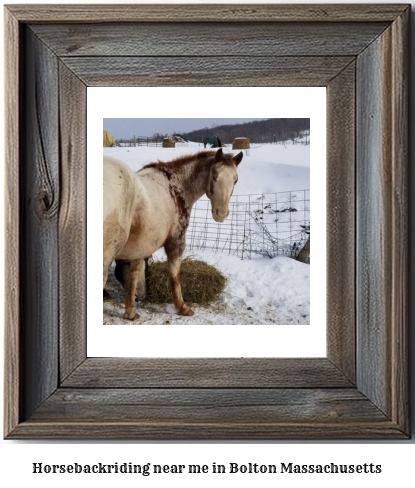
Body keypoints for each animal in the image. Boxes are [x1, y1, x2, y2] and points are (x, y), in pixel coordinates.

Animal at [103, 148, 244, 320]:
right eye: (215, 176)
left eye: (236, 180)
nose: (221, 214)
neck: (176, 186)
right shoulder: (176, 243)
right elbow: (174, 276)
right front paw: (182, 307)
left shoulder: (141, 246)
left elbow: (134, 275)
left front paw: (130, 311)